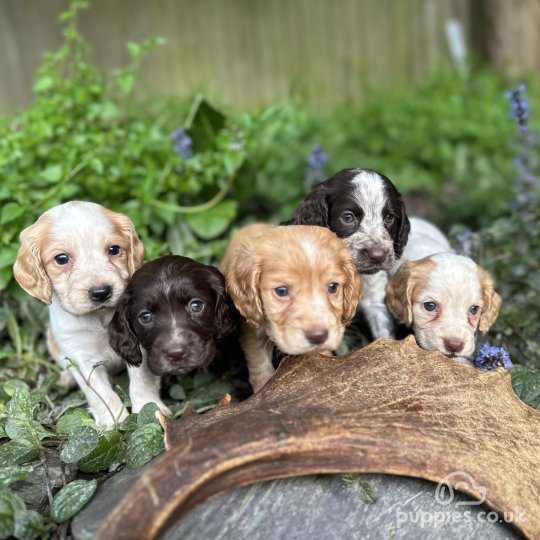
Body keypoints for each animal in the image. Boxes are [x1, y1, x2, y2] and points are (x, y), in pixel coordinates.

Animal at [13, 200, 169, 428]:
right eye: (61, 259)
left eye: (114, 249)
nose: (101, 292)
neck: (100, 319)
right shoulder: (81, 358)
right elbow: (101, 393)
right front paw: (114, 421)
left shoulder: (138, 343)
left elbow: (142, 380)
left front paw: (150, 408)